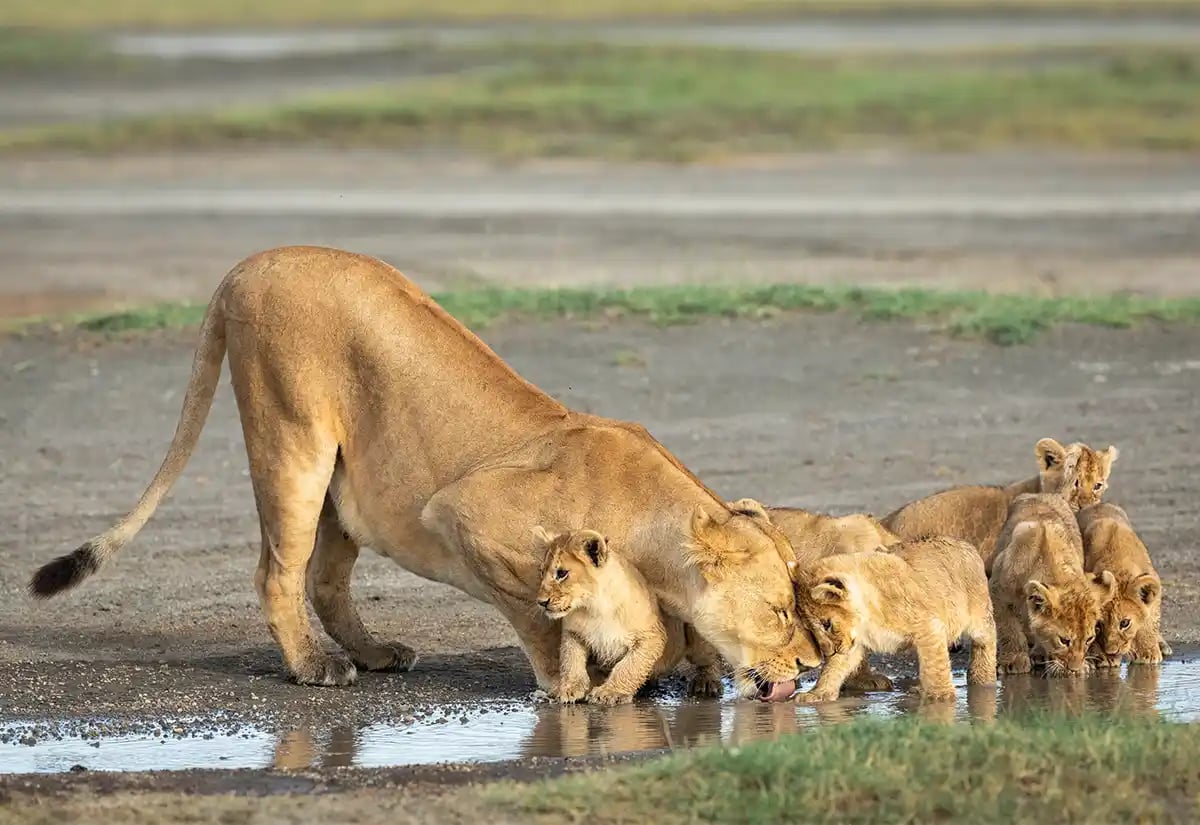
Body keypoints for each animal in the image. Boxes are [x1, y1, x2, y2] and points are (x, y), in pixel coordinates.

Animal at [534, 528, 687, 705]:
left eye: (562, 573)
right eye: (541, 572)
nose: (541, 602)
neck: (595, 608)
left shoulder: (652, 636)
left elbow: (629, 666)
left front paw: (609, 692)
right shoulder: (573, 634)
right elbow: (571, 661)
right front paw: (568, 688)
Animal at [791, 536, 997, 704]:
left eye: (827, 624)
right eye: (810, 629)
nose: (827, 653)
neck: (868, 613)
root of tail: (964, 543)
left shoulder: (928, 626)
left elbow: (935, 664)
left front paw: (941, 696)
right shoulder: (852, 643)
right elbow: (833, 668)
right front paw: (817, 694)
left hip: (979, 615)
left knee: (987, 639)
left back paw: (982, 679)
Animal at [988, 478, 1117, 677]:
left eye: (1089, 639)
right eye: (1064, 640)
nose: (1074, 669)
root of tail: (1042, 494)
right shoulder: (998, 591)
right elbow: (1008, 629)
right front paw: (1014, 661)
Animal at [1077, 502, 1167, 666]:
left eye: (1124, 623)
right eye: (1099, 625)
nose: (1111, 651)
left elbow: (1150, 619)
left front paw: (1148, 652)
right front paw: (1104, 657)